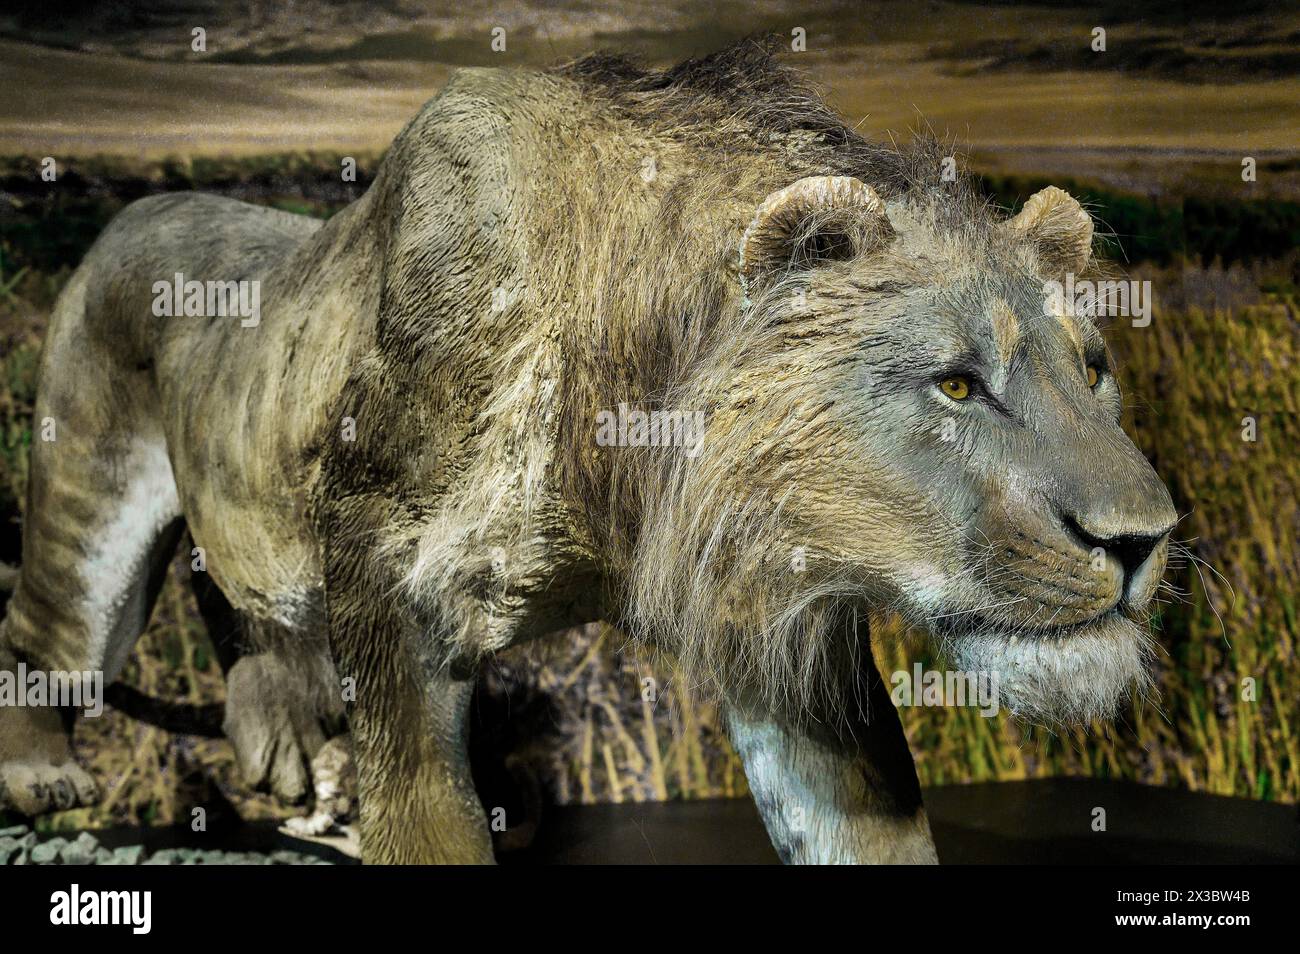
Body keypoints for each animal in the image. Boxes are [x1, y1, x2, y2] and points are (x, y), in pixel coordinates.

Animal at [0, 40, 1176, 864]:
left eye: (1093, 370)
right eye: (957, 383)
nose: (1144, 541)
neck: (626, 452)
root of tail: (133, 212)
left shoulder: (771, 617)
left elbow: (862, 822)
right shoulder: (385, 572)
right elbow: (425, 818)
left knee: (247, 599)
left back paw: (284, 740)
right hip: (88, 505)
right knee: (45, 628)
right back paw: (44, 779)